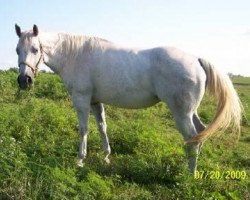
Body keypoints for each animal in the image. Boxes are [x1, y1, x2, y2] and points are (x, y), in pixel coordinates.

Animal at [14, 24, 241, 173]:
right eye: (17, 50)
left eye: (35, 49)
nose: (24, 80)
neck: (75, 55)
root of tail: (196, 59)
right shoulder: (95, 101)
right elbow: (102, 127)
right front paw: (106, 156)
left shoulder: (82, 99)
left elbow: (83, 129)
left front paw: (80, 160)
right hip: (191, 111)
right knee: (201, 133)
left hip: (181, 114)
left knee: (192, 139)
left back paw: (189, 175)